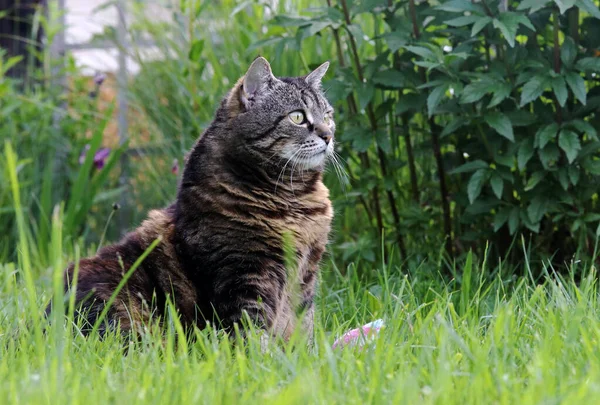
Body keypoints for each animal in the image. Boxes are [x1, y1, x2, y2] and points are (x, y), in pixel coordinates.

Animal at [48, 56, 336, 340]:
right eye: (297, 117)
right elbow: (252, 333)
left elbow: (304, 327)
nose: (328, 135)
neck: (294, 197)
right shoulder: (245, 273)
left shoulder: (306, 276)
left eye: (328, 115)